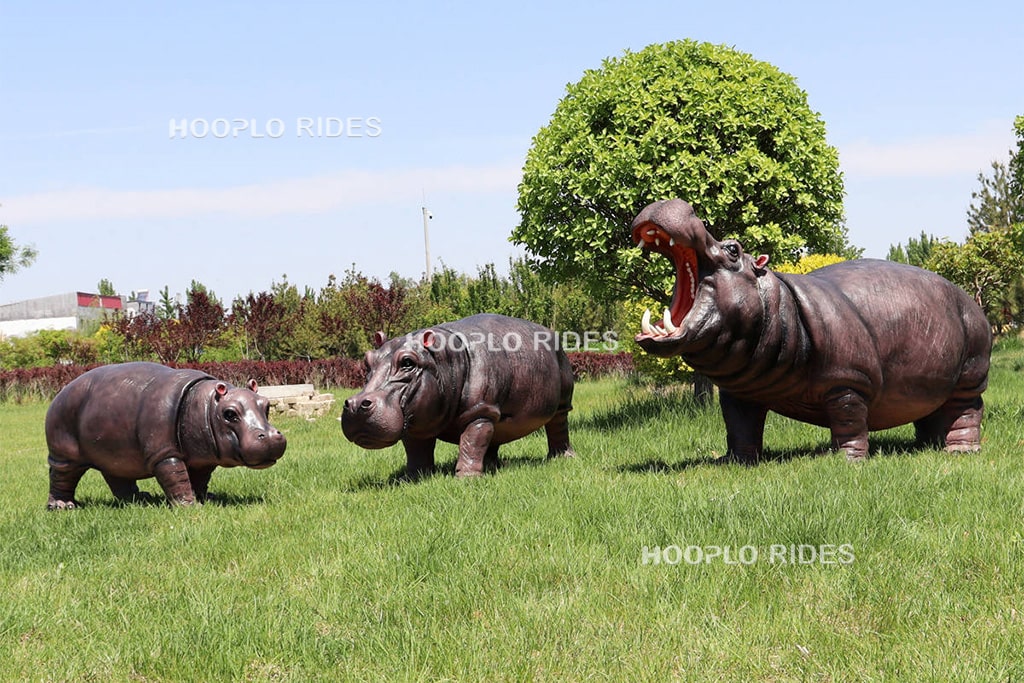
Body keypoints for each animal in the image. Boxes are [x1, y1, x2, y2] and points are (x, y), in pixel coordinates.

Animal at [45, 362, 287, 509]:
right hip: (64, 453)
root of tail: (60, 393)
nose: (270, 436)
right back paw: (62, 507)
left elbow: (200, 479)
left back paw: (140, 499)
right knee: (61, 477)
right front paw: (190, 506)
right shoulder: (164, 452)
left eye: (266, 404)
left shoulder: (203, 459)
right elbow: (176, 477)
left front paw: (206, 498)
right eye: (229, 413)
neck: (205, 404)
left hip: (115, 452)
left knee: (117, 476)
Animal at [341, 313, 575, 477]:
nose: (356, 404)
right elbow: (417, 451)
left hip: (561, 400)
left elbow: (471, 442)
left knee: (558, 425)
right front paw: (413, 478)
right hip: (496, 413)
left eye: (407, 361)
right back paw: (492, 466)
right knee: (494, 436)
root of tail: (551, 333)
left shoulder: (479, 410)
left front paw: (466, 479)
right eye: (367, 360)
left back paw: (563, 458)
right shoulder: (416, 420)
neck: (443, 358)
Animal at [631, 198, 992, 462]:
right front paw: (735, 462)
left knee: (967, 413)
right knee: (931, 412)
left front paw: (846, 462)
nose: (673, 201)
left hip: (970, 374)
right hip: (929, 381)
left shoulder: (847, 383)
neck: (779, 304)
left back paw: (960, 452)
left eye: (734, 248)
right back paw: (928, 444)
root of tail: (971, 300)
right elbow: (740, 427)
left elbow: (848, 423)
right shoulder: (739, 392)